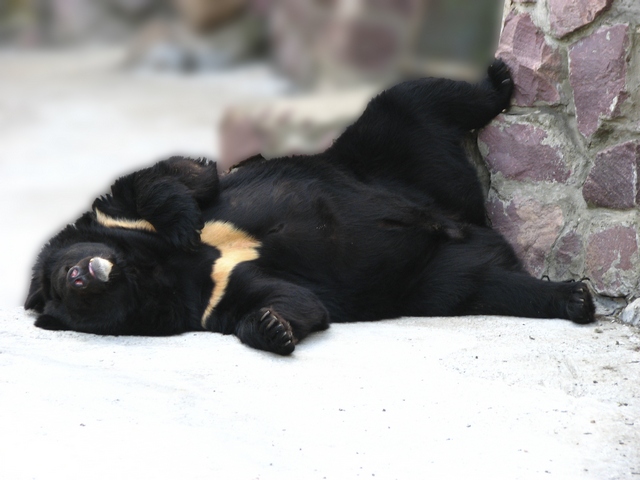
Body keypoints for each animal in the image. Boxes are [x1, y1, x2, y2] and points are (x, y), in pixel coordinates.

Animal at [23, 60, 596, 354]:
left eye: (59, 276)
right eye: (65, 293)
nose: (80, 274)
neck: (154, 267)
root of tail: (462, 222)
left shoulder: (117, 217)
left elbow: (165, 178)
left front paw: (184, 223)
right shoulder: (206, 297)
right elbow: (286, 298)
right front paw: (273, 328)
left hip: (390, 151)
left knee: (418, 98)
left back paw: (498, 80)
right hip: (435, 279)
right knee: (491, 287)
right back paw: (572, 299)